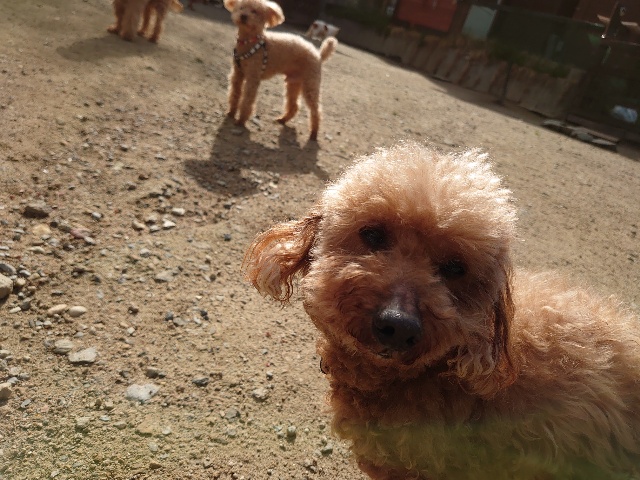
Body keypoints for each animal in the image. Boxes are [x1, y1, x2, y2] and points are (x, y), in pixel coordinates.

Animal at [224, 0, 338, 141]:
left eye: (255, 11)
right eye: (241, 8)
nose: (243, 16)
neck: (249, 42)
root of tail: (319, 55)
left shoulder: (253, 77)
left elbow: (247, 100)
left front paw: (240, 121)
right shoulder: (237, 74)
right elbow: (234, 94)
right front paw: (231, 112)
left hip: (310, 83)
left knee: (316, 111)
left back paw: (313, 134)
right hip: (293, 83)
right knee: (294, 106)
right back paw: (283, 119)